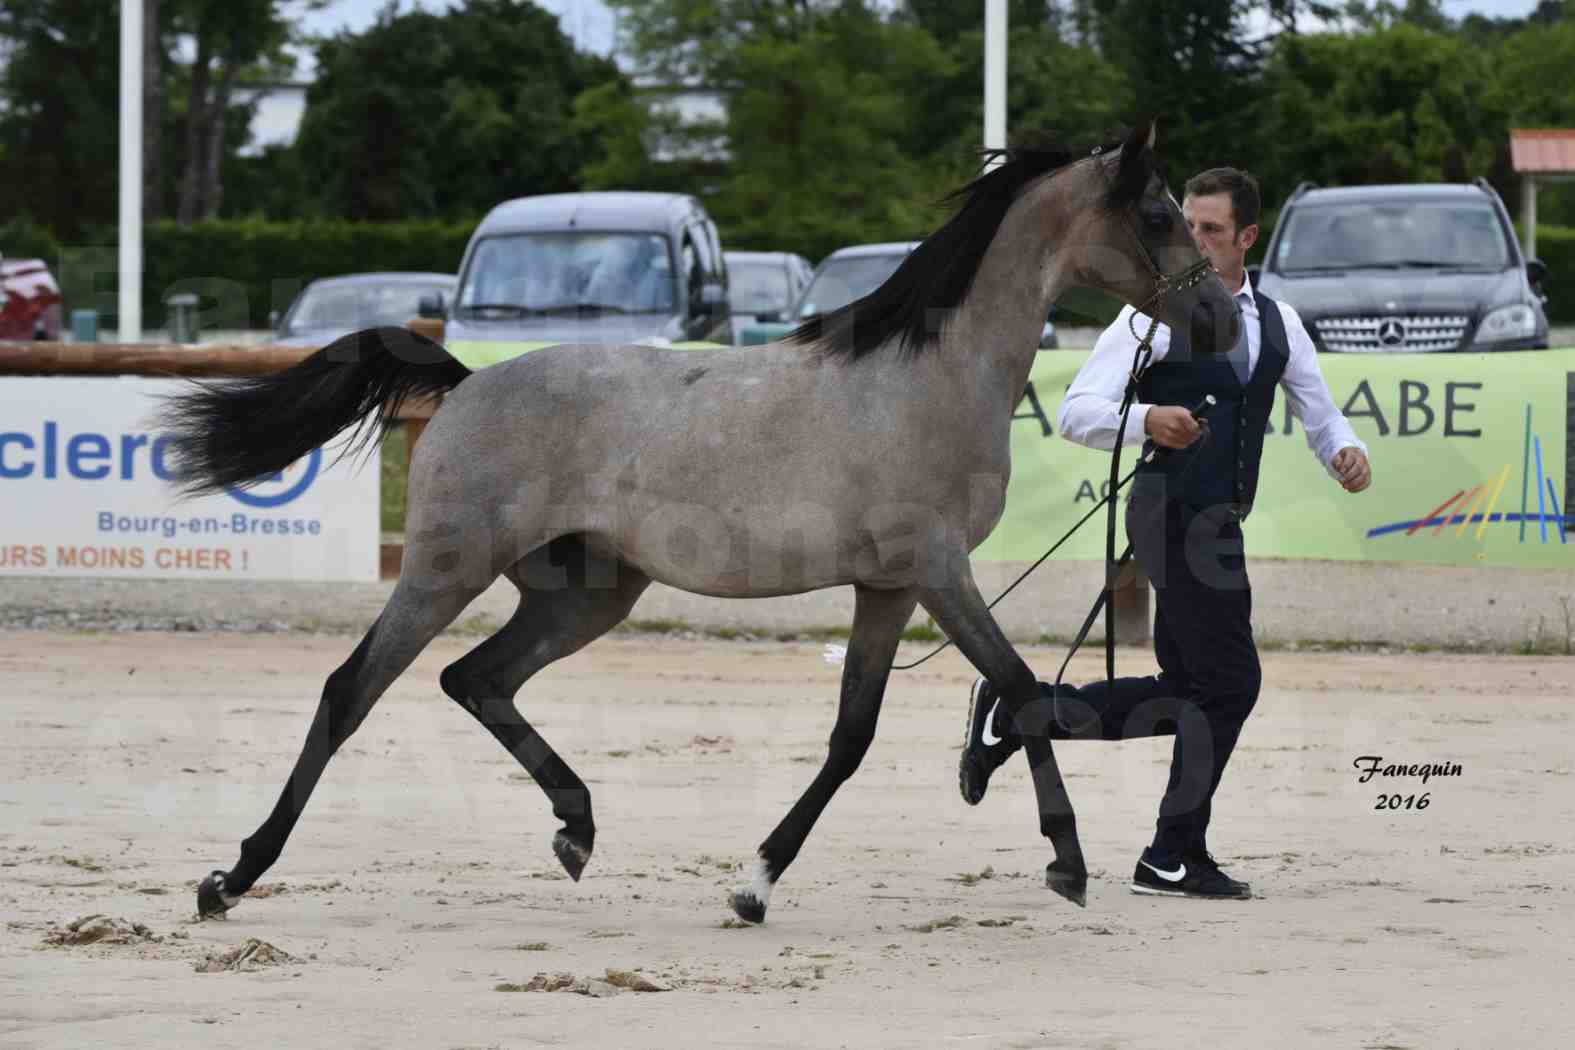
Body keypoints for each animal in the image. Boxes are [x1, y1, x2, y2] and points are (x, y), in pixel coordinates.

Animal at [163, 118, 1241, 925]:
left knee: (475, 679)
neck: (928, 376)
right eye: (1157, 214)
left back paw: (576, 829)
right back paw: (232, 876)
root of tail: (465, 384)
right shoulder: (938, 572)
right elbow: (1017, 689)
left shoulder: (889, 586)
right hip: (446, 569)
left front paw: (754, 886)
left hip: (587, 595)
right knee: (354, 690)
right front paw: (1067, 864)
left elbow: (853, 735)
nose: (1223, 323)